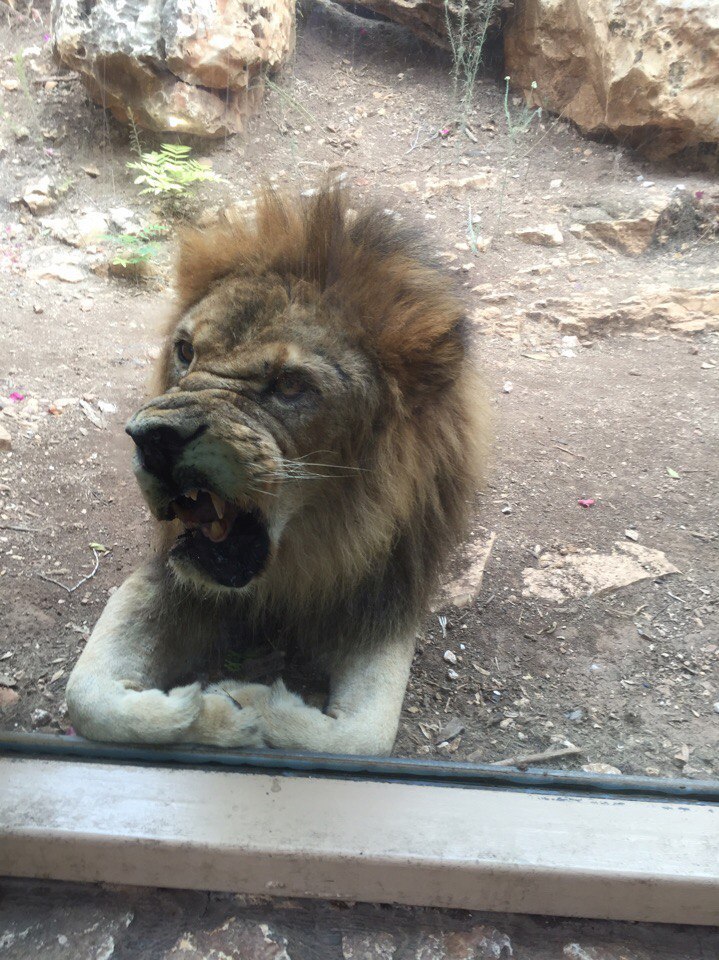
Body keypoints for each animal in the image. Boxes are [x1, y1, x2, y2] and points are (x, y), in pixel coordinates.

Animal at [66, 186, 490, 756]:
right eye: (185, 352)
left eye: (290, 385)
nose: (154, 437)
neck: (295, 563)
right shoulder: (171, 577)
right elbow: (87, 695)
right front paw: (197, 711)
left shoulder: (386, 601)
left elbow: (360, 737)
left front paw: (245, 702)